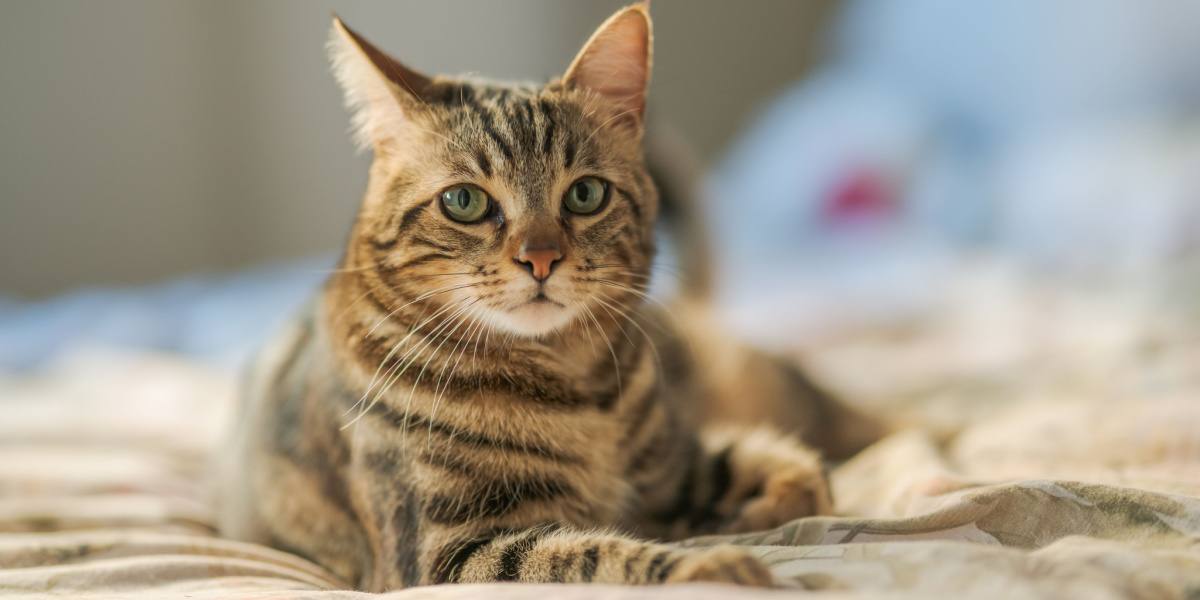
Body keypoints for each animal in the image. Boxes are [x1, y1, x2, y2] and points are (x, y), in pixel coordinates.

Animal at [218, 4, 873, 592]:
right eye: (463, 201)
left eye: (585, 194)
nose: (539, 258)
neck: (577, 389)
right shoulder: (443, 551)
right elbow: (597, 553)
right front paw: (716, 562)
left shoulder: (678, 467)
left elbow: (802, 473)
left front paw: (749, 514)